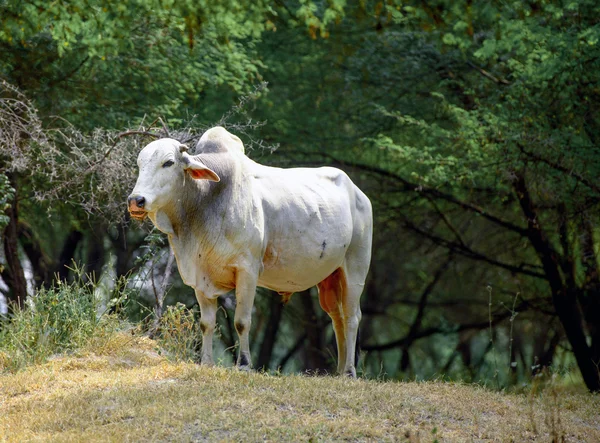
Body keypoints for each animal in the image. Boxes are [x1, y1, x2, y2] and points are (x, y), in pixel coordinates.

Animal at [127, 126, 370, 376]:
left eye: (169, 162)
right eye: (139, 163)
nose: (136, 200)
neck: (207, 199)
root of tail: (358, 193)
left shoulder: (247, 270)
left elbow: (242, 321)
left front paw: (244, 364)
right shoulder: (200, 277)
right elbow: (206, 323)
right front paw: (206, 362)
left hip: (355, 270)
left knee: (352, 317)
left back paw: (349, 372)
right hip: (329, 280)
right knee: (337, 318)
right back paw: (339, 371)